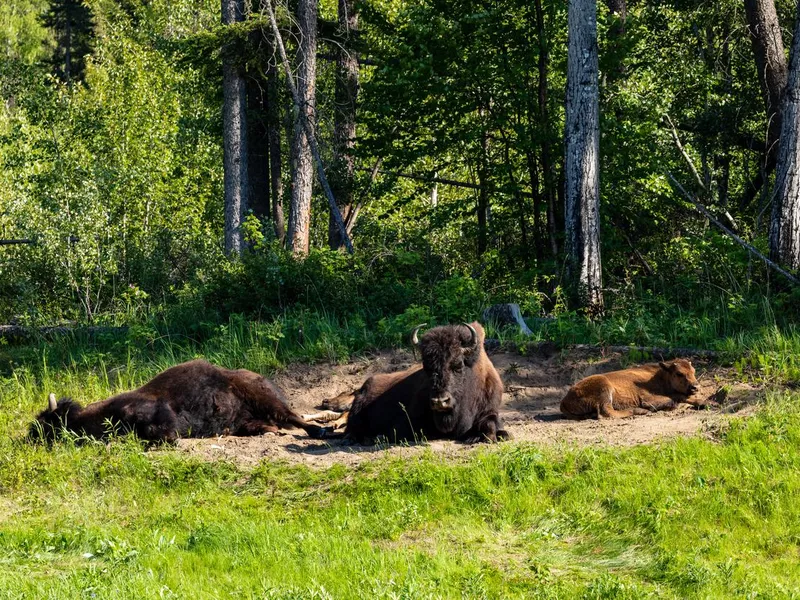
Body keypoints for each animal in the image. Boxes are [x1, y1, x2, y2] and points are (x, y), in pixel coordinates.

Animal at [28, 358, 328, 442]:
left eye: (46, 425)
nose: (28, 438)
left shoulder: (155, 412)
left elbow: (160, 430)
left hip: (265, 399)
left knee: (293, 417)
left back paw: (320, 430)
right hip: (248, 420)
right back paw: (267, 430)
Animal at [342, 324, 506, 446]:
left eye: (458, 365)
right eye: (426, 367)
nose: (440, 401)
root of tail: (365, 386)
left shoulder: (490, 409)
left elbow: (493, 425)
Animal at [556, 358, 712, 420]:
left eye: (693, 371)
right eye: (679, 373)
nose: (695, 386)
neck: (660, 375)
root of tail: (565, 399)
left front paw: (706, 403)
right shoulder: (648, 398)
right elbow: (672, 400)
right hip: (604, 388)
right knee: (607, 412)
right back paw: (639, 411)